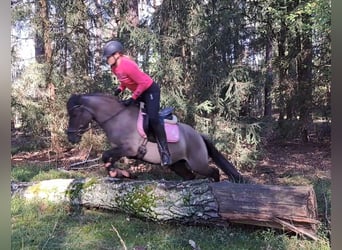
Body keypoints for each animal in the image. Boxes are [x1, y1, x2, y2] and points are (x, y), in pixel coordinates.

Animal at [65, 93, 244, 183]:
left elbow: (106, 156)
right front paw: (123, 174)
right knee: (190, 176)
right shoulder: (121, 150)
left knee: (214, 172)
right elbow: (107, 159)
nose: (71, 137)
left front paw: (120, 173)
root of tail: (198, 135)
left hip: (197, 163)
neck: (117, 118)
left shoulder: (129, 149)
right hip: (178, 164)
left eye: (74, 114)